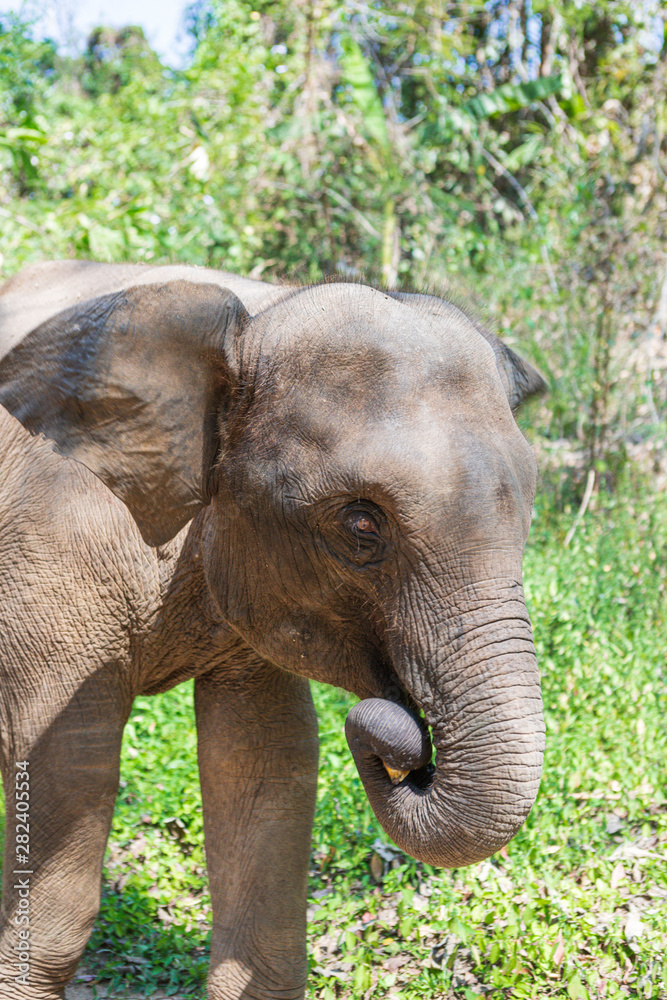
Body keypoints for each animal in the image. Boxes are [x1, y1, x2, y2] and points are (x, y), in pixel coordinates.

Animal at [0, 259, 546, 1000]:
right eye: (361, 522)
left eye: (529, 508)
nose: (402, 739)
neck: (257, 315)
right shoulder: (52, 549)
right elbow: (66, 759)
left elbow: (264, 757)